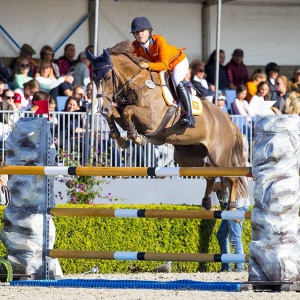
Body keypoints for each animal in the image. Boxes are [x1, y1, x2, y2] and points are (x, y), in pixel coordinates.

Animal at [86, 40, 248, 211]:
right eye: (94, 79)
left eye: (107, 77)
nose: (101, 108)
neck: (139, 84)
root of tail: (228, 119)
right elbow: (117, 113)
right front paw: (120, 139)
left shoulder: (152, 120)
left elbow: (127, 110)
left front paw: (136, 137)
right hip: (187, 157)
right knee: (209, 173)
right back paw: (207, 202)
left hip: (220, 156)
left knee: (232, 178)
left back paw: (231, 206)